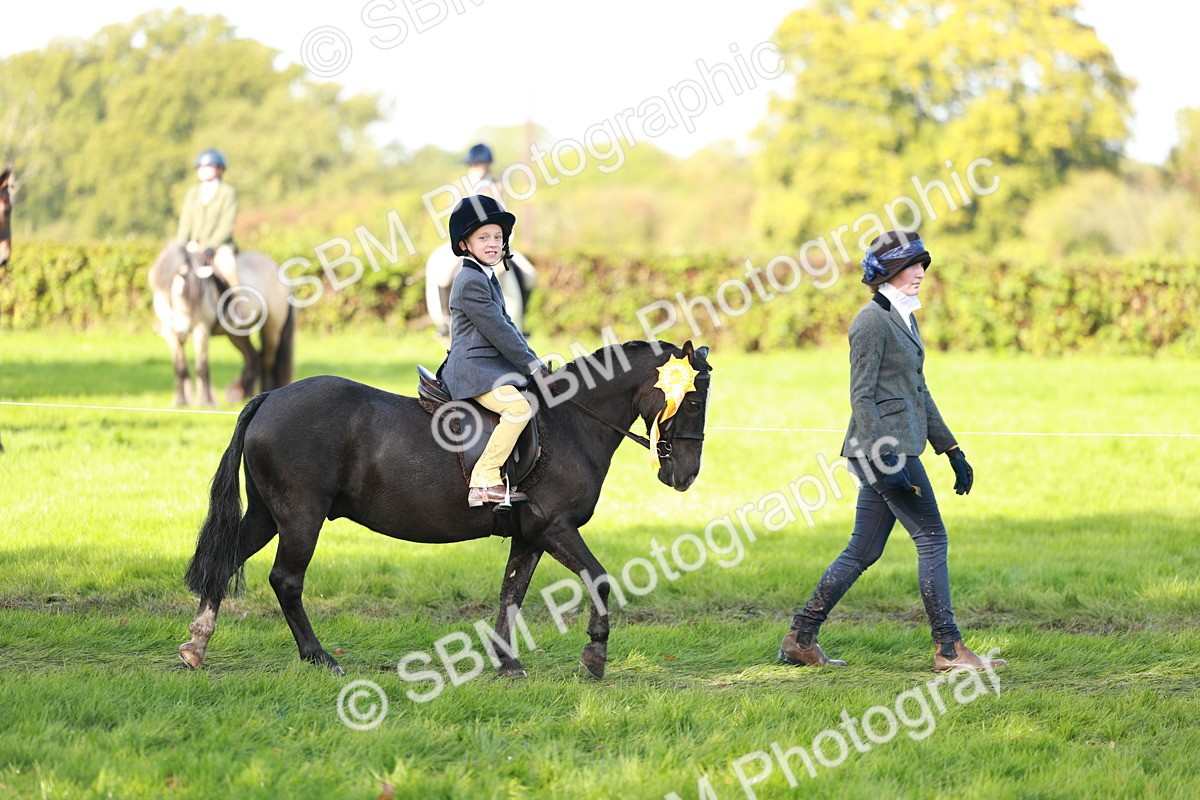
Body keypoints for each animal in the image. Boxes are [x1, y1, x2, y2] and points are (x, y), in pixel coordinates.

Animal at [148, 241, 295, 407]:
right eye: (171, 296)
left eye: (195, 296)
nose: (183, 330)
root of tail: (276, 267)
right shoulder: (171, 334)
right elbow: (180, 368)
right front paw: (180, 401)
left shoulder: (201, 331)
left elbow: (201, 367)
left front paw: (207, 402)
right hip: (237, 336)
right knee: (253, 358)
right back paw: (243, 394)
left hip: (271, 330)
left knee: (266, 362)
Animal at [179, 339, 712, 680]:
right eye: (693, 400)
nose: (685, 475)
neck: (572, 422)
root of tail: (271, 397)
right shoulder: (554, 527)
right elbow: (598, 578)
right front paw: (595, 654)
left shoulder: (529, 535)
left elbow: (511, 593)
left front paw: (506, 662)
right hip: (300, 518)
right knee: (286, 581)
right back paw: (319, 657)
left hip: (267, 516)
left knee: (225, 560)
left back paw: (196, 645)